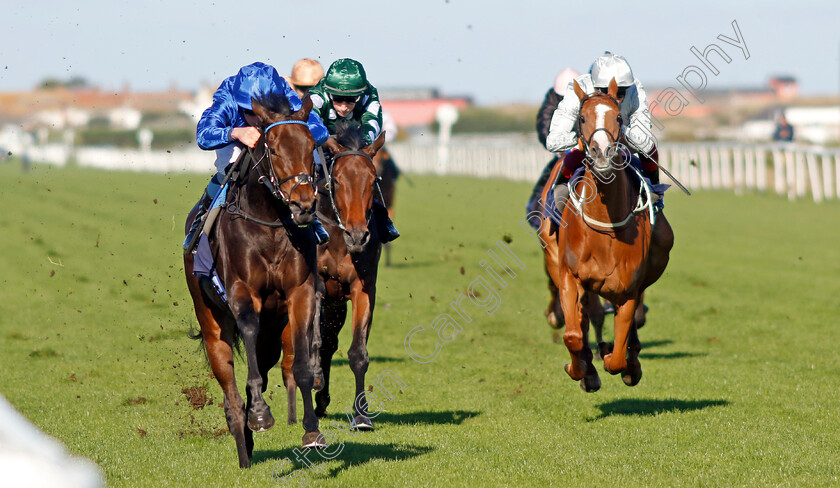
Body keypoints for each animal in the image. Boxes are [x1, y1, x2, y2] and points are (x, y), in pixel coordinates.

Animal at [184, 92, 324, 468]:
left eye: (310, 146)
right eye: (272, 148)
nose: (304, 205)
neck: (270, 225)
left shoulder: (300, 291)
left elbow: (301, 364)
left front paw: (311, 430)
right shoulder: (243, 292)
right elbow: (248, 333)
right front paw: (260, 414)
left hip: (273, 333)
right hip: (211, 323)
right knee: (230, 387)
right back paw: (243, 438)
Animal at [280, 119, 388, 430]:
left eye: (372, 180)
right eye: (337, 180)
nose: (357, 235)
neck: (339, 239)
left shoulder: (362, 288)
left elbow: (358, 353)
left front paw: (362, 415)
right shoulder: (316, 285)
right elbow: (314, 339)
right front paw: (314, 374)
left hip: (337, 305)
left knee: (330, 343)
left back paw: (322, 401)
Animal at [556, 79, 676, 392]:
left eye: (619, 118)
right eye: (581, 118)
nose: (602, 153)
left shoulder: (628, 289)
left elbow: (618, 357)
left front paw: (617, 359)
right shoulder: (571, 277)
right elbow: (573, 335)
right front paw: (581, 370)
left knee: (633, 326)